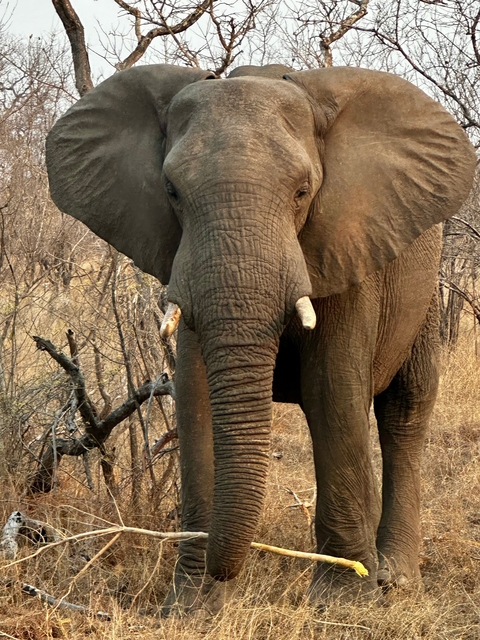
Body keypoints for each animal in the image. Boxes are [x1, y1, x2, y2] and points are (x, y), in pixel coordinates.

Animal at [45, 63, 476, 613]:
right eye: (171, 191)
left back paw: (393, 579)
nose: (223, 571)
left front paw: (341, 603)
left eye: (302, 191)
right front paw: (191, 605)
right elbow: (196, 398)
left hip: (422, 291)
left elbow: (332, 392)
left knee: (405, 409)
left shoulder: (344, 246)